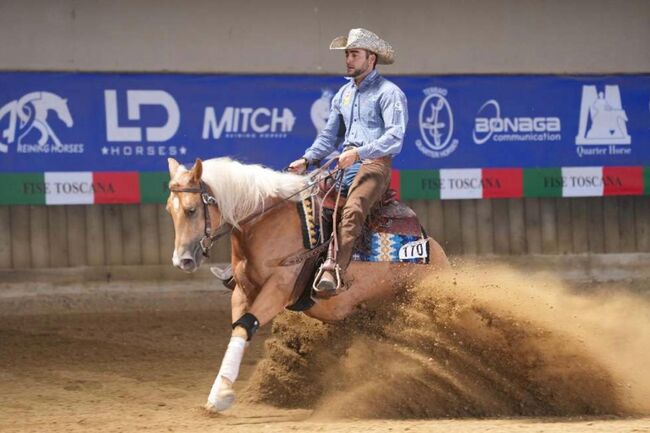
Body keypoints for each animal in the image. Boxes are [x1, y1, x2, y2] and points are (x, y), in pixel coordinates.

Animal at [165, 156, 448, 412]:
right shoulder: (243, 291)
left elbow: (246, 325)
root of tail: (434, 250)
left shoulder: (278, 290)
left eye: (191, 210)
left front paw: (220, 396)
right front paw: (219, 392)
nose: (182, 260)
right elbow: (240, 329)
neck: (265, 222)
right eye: (170, 209)